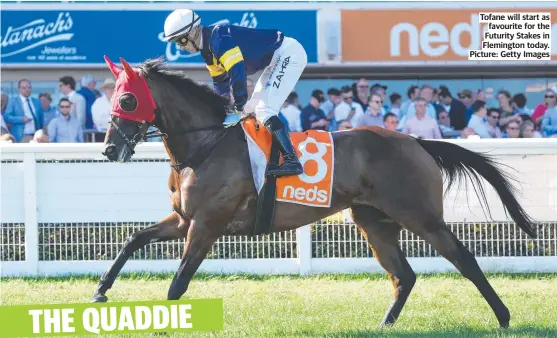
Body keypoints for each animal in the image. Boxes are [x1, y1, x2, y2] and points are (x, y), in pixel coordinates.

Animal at [92, 56, 536, 328]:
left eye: (126, 99)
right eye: (112, 98)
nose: (109, 149)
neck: (205, 146)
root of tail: (417, 141)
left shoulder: (206, 225)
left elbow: (178, 282)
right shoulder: (184, 219)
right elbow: (132, 239)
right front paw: (99, 291)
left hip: (420, 216)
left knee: (464, 259)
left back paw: (503, 317)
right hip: (374, 221)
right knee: (404, 275)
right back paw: (384, 324)